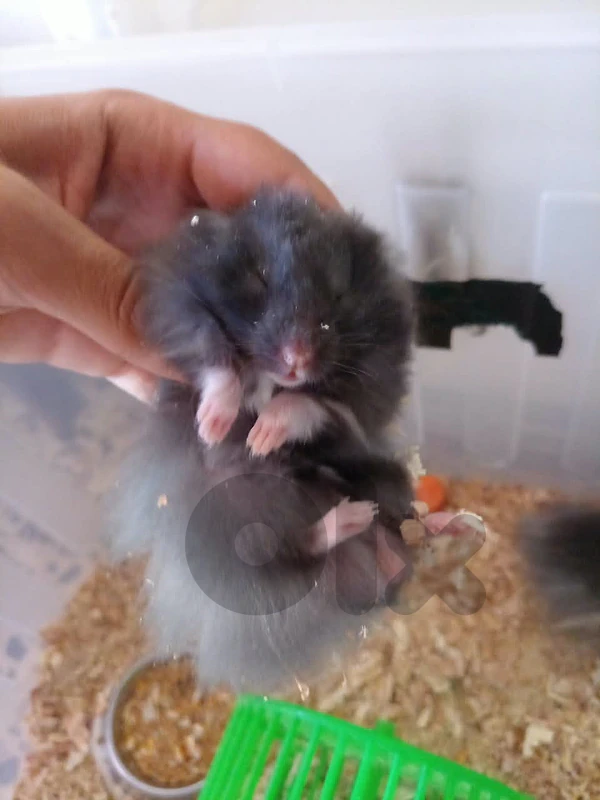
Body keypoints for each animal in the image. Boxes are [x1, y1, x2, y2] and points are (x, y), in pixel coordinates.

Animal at [112, 189, 415, 692]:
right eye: (260, 278)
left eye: (338, 292)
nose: (297, 359)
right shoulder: (178, 305)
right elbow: (216, 359)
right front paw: (214, 425)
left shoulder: (375, 385)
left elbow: (309, 403)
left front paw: (262, 434)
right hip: (230, 521)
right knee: (288, 550)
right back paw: (346, 517)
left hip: (384, 483)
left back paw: (368, 518)